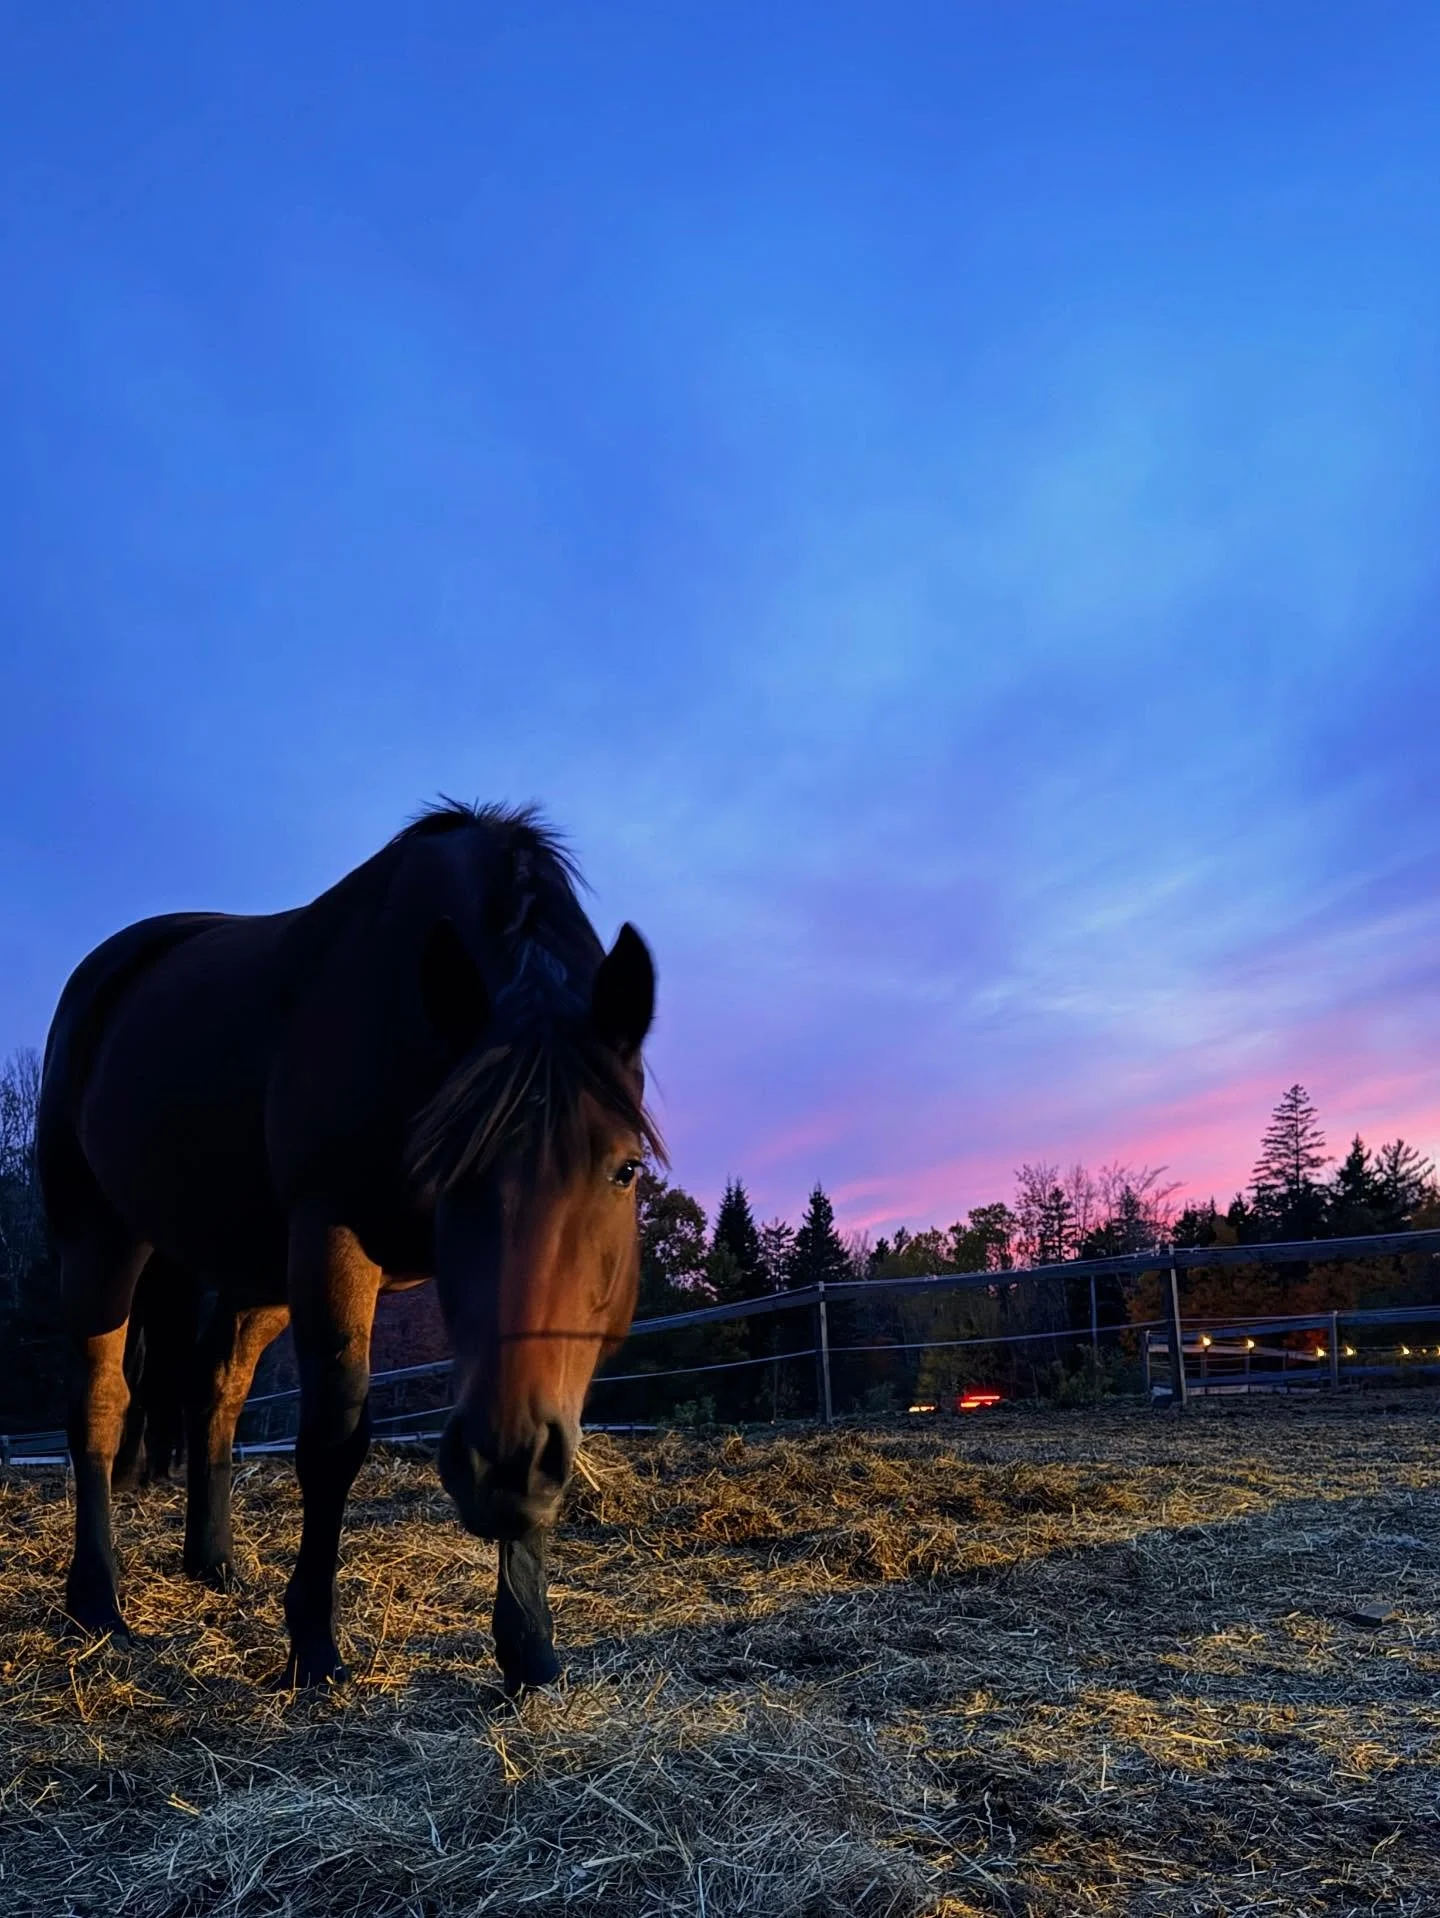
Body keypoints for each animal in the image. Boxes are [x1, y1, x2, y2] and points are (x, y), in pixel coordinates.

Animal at [37, 801, 660, 1689]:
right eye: (447, 1164)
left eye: (625, 1168)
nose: (498, 1466)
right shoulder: (331, 1240)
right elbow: (333, 1440)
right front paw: (314, 1646)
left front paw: (530, 1647)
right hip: (100, 1237)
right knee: (100, 1402)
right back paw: (96, 1603)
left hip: (255, 1272)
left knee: (214, 1388)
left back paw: (215, 1565)